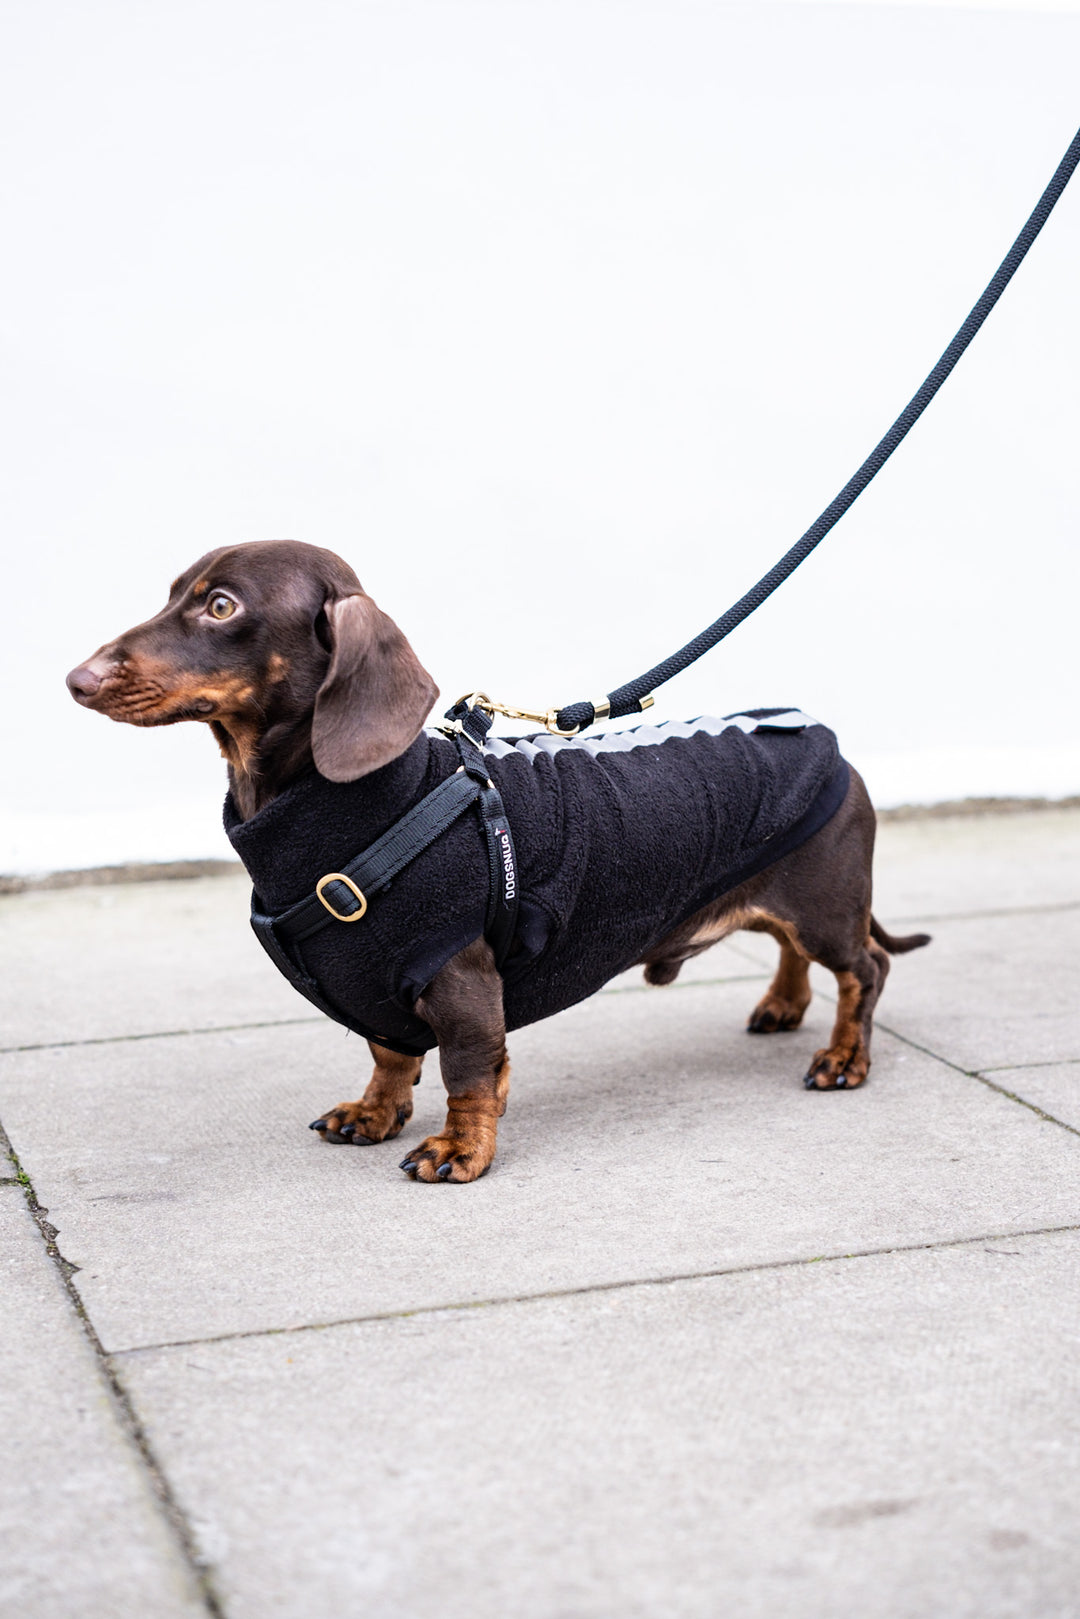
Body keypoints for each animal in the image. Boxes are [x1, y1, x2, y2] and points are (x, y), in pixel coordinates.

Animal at [67, 537, 932, 1185]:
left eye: (222, 606)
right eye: (171, 593)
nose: (77, 679)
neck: (367, 799)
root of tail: (822, 735)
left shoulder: (458, 976)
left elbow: (466, 1072)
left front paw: (460, 1149)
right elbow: (388, 1052)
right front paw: (372, 1112)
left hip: (824, 904)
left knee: (865, 968)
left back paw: (843, 1057)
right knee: (797, 952)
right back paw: (783, 1005)